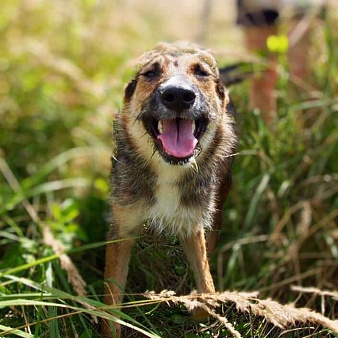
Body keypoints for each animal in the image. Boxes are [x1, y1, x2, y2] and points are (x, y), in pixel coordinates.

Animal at [103, 43, 238, 336]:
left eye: (201, 73)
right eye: (151, 73)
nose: (177, 95)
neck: (168, 171)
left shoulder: (193, 225)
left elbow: (208, 286)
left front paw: (198, 307)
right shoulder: (122, 227)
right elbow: (110, 303)